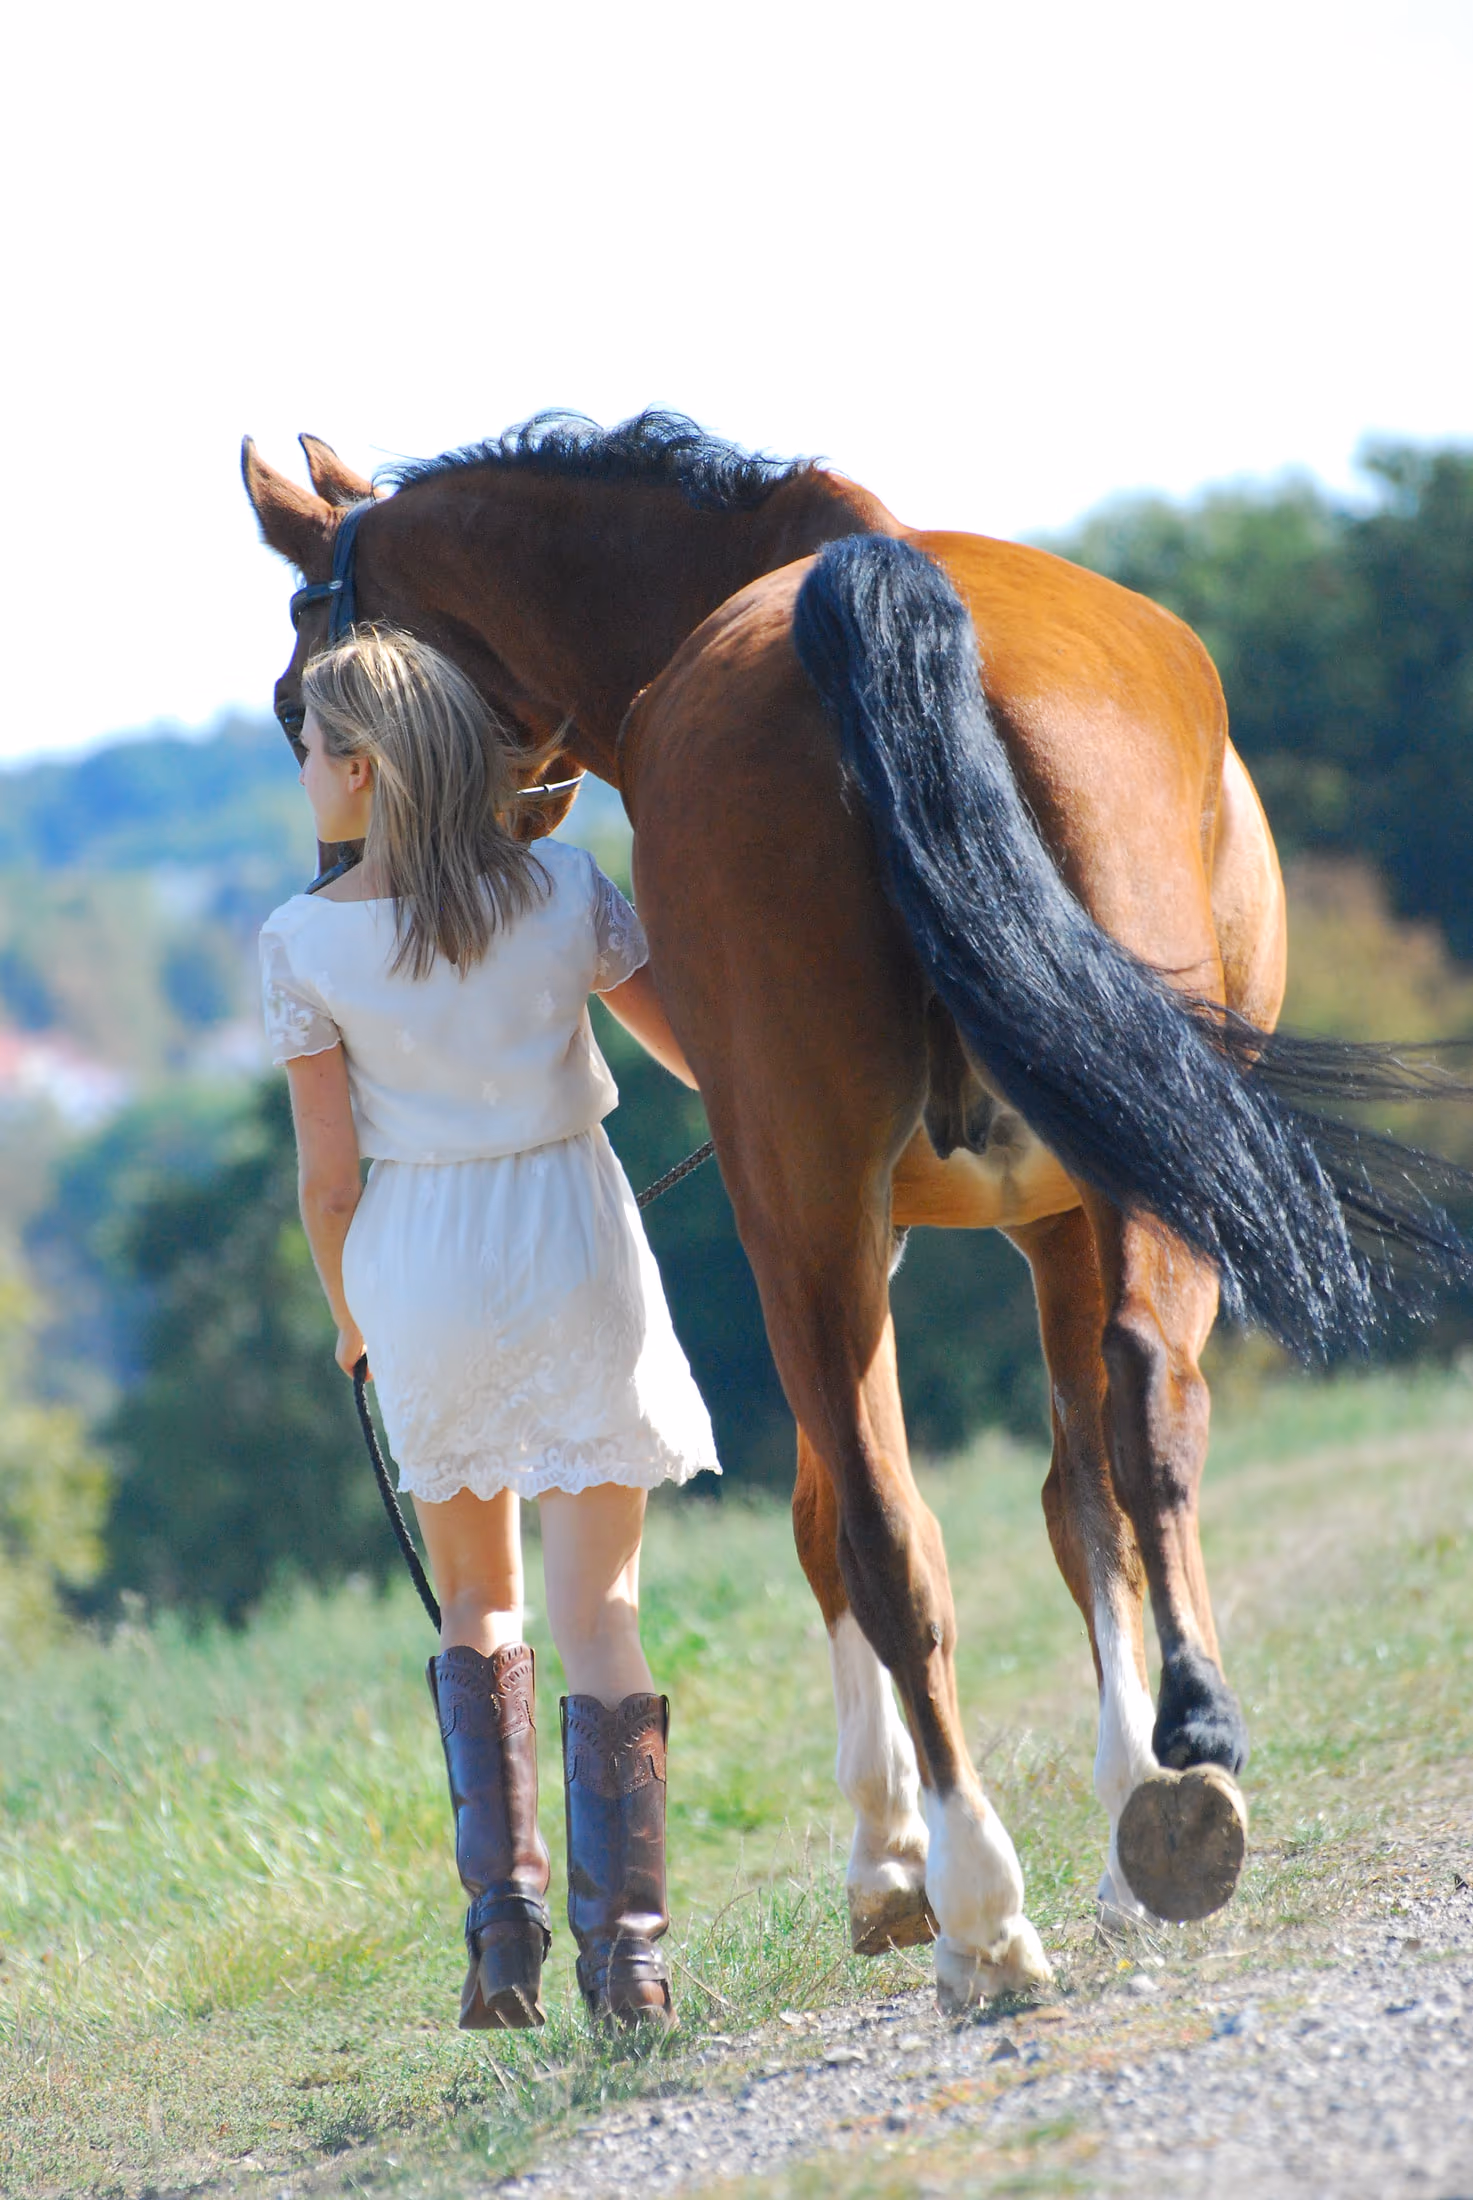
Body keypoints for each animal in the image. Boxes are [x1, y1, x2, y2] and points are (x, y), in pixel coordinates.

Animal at [243, 411, 1471, 2009]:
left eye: (294, 708)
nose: (348, 879)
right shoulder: (1016, 1218)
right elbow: (1061, 1495)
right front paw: (984, 1840)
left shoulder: (919, 1216)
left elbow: (949, 1503)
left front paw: (958, 1844)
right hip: (1006, 1185)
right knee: (1110, 1419)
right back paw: (1061, 1849)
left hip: (839, 1198)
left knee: (921, 1507)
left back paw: (1021, 1873)